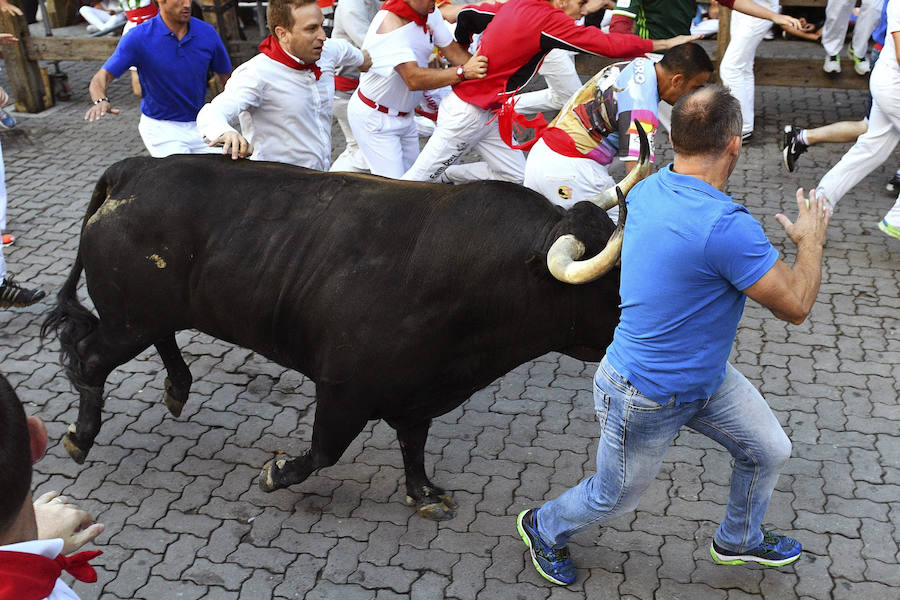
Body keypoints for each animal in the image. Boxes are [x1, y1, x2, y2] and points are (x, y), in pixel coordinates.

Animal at [44, 154, 632, 520]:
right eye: (616, 282)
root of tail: (137, 169)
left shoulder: (418, 391)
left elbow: (413, 443)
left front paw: (424, 493)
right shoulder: (344, 389)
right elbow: (324, 451)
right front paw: (277, 472)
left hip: (143, 316)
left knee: (155, 339)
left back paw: (177, 389)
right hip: (127, 320)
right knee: (89, 360)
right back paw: (81, 436)